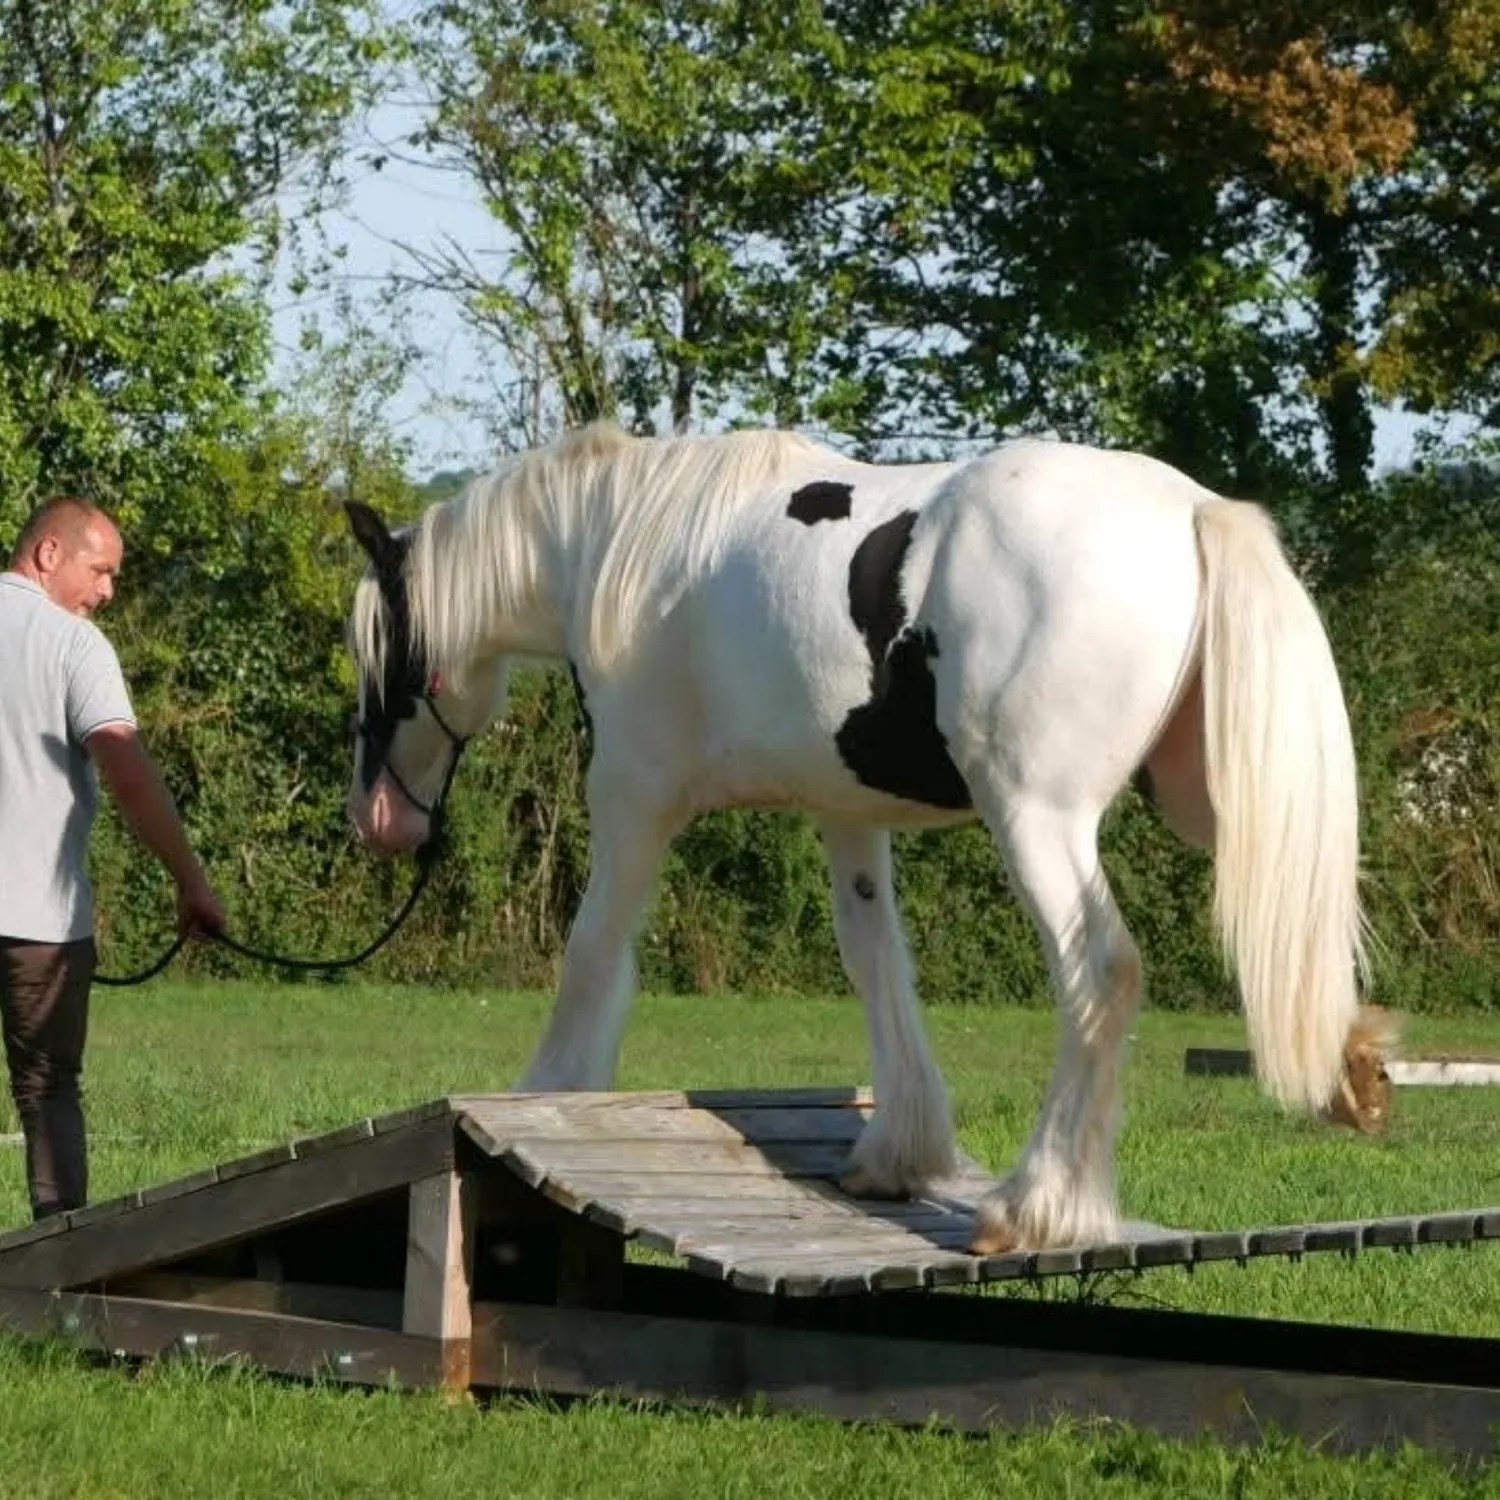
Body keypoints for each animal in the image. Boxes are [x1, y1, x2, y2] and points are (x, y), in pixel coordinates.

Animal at [341, 419, 1379, 1253]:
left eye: (377, 655)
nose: (376, 821)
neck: (623, 544)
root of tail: (1195, 510)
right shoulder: (848, 814)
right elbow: (875, 959)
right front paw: (899, 1152)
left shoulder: (634, 794)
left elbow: (596, 952)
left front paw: (553, 1092)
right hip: (1221, 808)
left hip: (1038, 818)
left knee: (1100, 974)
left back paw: (1035, 1207)